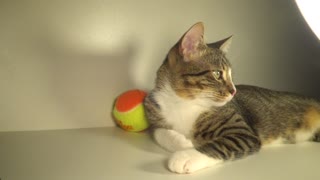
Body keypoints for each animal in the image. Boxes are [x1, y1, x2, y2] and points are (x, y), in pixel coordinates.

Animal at [143, 21, 320, 174]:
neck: (183, 102)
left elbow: (221, 144)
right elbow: (157, 131)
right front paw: (182, 142)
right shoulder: (152, 108)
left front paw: (186, 156)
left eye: (230, 76)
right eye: (217, 74)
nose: (234, 91)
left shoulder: (243, 132)